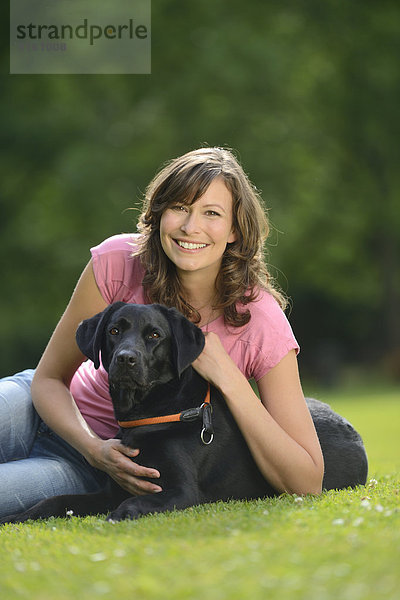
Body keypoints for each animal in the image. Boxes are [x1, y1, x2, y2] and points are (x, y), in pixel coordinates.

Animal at [0, 302, 368, 524]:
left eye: (154, 335)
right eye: (114, 331)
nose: (125, 359)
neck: (150, 415)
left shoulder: (180, 490)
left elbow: (134, 504)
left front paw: (118, 516)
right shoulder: (113, 488)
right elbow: (57, 500)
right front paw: (19, 516)